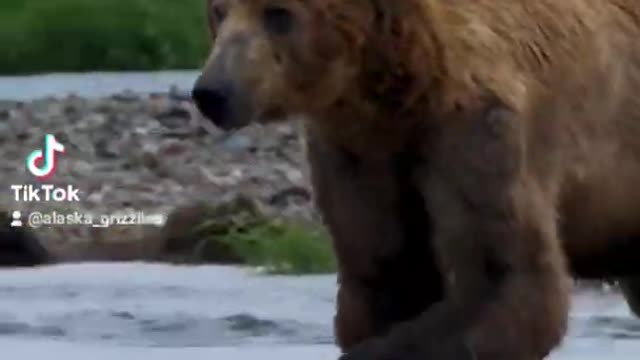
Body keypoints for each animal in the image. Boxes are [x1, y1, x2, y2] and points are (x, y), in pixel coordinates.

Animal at [191, 0, 640, 358]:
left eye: (277, 13)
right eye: (219, 10)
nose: (213, 91)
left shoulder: (476, 135)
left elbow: (504, 280)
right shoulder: (358, 155)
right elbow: (387, 273)